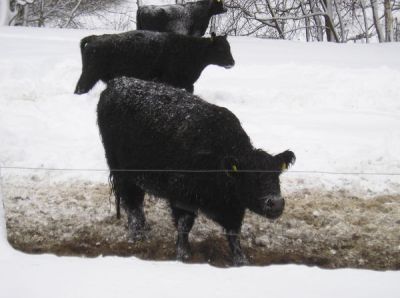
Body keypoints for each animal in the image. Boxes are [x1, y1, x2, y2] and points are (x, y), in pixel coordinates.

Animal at [74, 30, 234, 93]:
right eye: (221, 49)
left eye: (229, 47)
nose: (232, 63)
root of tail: (95, 38)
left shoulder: (186, 83)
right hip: (89, 75)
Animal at [97, 77, 296, 266]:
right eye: (251, 178)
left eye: (277, 175)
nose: (276, 203)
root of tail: (117, 82)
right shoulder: (182, 197)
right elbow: (185, 226)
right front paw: (183, 254)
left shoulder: (234, 207)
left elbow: (234, 234)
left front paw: (241, 260)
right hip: (123, 172)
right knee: (132, 204)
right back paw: (137, 234)